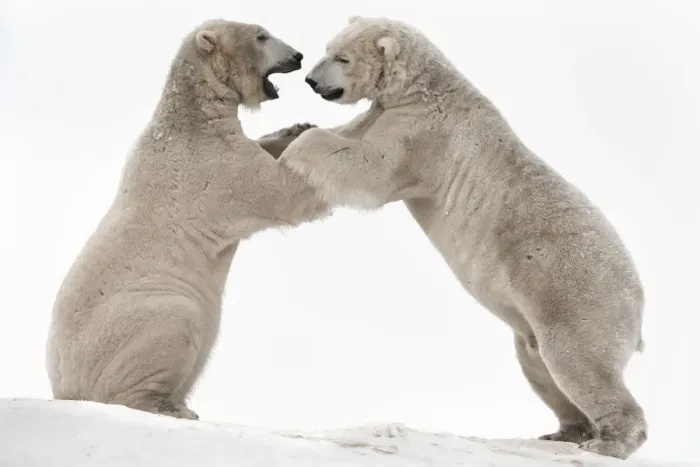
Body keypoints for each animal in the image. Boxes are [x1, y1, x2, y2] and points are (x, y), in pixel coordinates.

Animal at [45, 19, 328, 420]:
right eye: (261, 36)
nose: (298, 56)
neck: (192, 118)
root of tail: (64, 390)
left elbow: (263, 149)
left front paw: (296, 129)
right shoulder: (213, 167)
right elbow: (279, 191)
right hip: (140, 316)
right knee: (174, 325)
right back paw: (170, 407)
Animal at [278, 16, 647, 460]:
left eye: (342, 57)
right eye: (328, 48)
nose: (312, 80)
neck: (425, 88)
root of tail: (638, 300)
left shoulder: (424, 136)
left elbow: (372, 168)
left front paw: (297, 147)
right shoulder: (387, 112)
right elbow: (350, 132)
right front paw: (289, 132)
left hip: (574, 295)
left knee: (578, 363)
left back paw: (608, 442)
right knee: (538, 365)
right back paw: (564, 432)